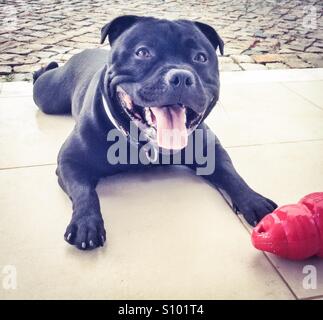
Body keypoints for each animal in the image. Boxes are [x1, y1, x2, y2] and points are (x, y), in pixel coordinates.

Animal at [31, 15, 278, 250]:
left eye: (200, 58)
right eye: (142, 52)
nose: (181, 77)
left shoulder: (212, 151)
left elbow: (231, 174)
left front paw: (254, 201)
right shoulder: (70, 161)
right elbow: (84, 191)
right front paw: (86, 223)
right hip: (48, 96)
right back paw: (42, 69)